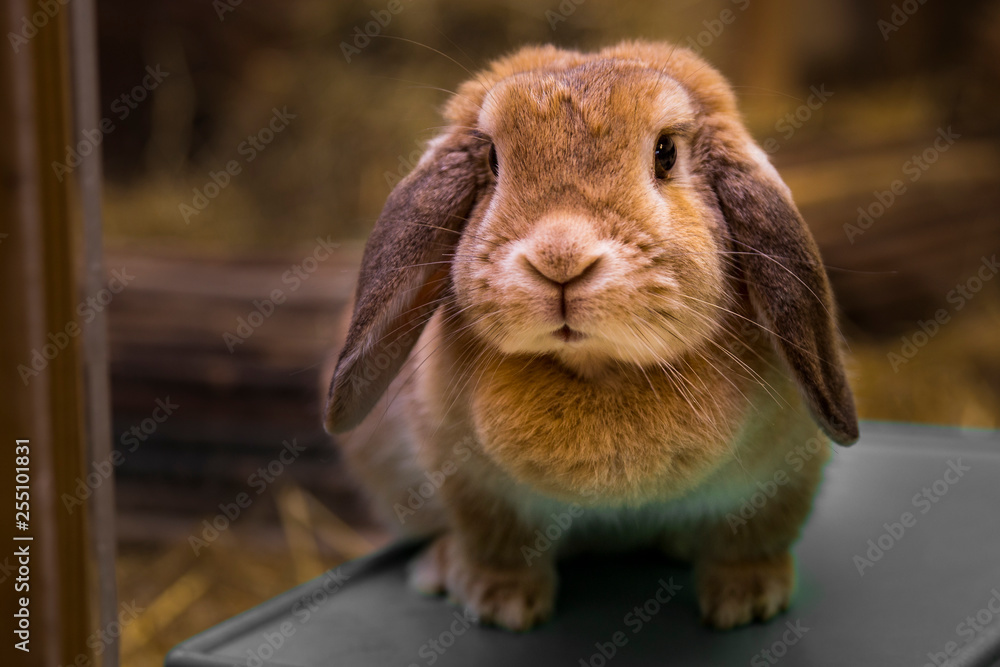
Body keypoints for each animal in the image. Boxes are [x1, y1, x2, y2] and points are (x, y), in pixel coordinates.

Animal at [323, 40, 858, 632]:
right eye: (492, 161)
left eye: (666, 154)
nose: (560, 258)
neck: (598, 372)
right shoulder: (474, 488)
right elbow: (497, 543)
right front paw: (499, 604)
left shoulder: (778, 478)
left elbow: (750, 538)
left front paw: (749, 600)